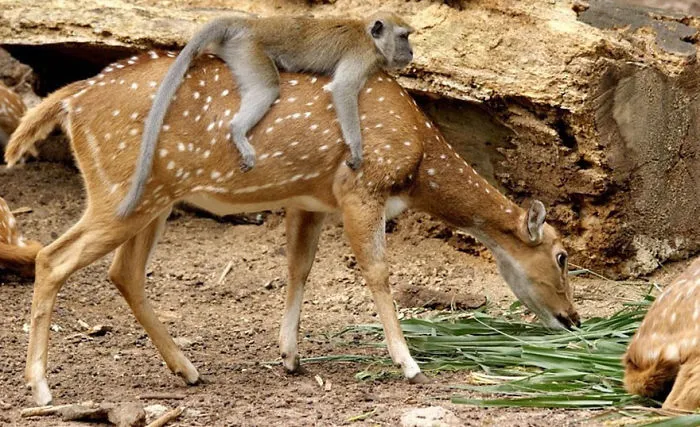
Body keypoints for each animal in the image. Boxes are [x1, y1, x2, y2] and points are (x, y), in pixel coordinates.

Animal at [5, 51, 580, 406]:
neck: (419, 159)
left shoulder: (311, 200)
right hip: (123, 189)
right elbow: (377, 272)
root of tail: (71, 99)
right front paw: (409, 363)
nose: (573, 320)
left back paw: (188, 370)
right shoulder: (360, 187)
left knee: (123, 272)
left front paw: (290, 358)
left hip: (152, 199)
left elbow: (298, 268)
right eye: (561, 257)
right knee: (52, 257)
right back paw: (42, 389)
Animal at [117, 12, 414, 218]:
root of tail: (252, 25)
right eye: (403, 36)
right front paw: (356, 150)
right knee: (267, 87)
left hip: (238, 53)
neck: (369, 37)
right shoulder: (362, 56)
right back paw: (238, 131)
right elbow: (343, 89)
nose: (411, 51)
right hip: (250, 52)